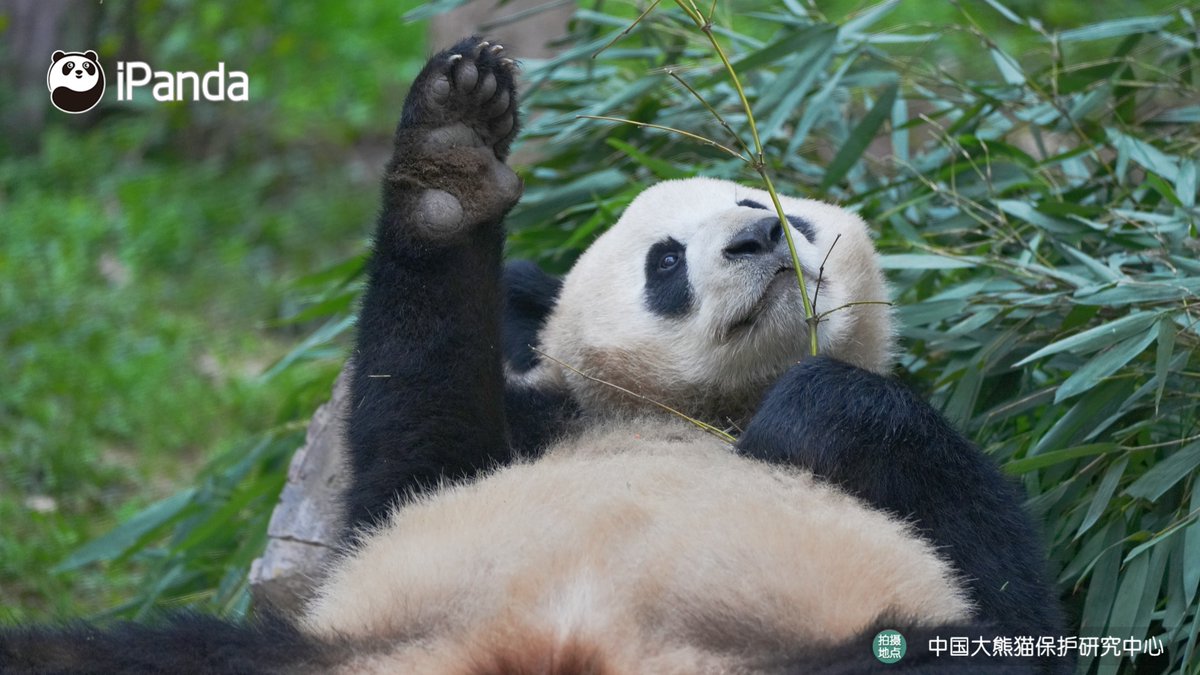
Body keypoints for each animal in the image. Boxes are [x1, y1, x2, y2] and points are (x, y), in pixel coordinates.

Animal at [1, 37, 1066, 674]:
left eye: (773, 207)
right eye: (666, 260)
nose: (759, 241)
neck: (690, 415)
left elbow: (1013, 586)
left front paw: (810, 406)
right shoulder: (520, 433)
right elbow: (419, 428)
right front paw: (451, 159)